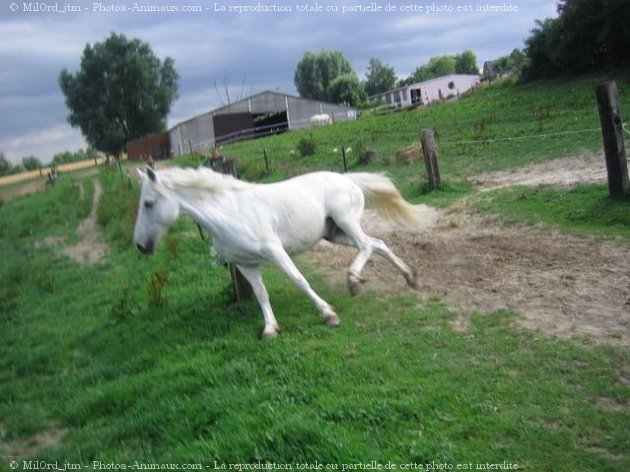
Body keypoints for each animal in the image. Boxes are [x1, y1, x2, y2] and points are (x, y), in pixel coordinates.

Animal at [133, 168, 424, 338]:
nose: (140, 246)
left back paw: (354, 281)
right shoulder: (246, 265)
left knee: (367, 245)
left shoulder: (275, 252)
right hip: (335, 233)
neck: (230, 213)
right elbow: (261, 294)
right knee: (378, 244)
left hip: (346, 222)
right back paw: (410, 278)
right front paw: (270, 329)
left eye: (148, 203)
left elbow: (299, 280)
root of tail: (346, 178)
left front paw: (329, 314)